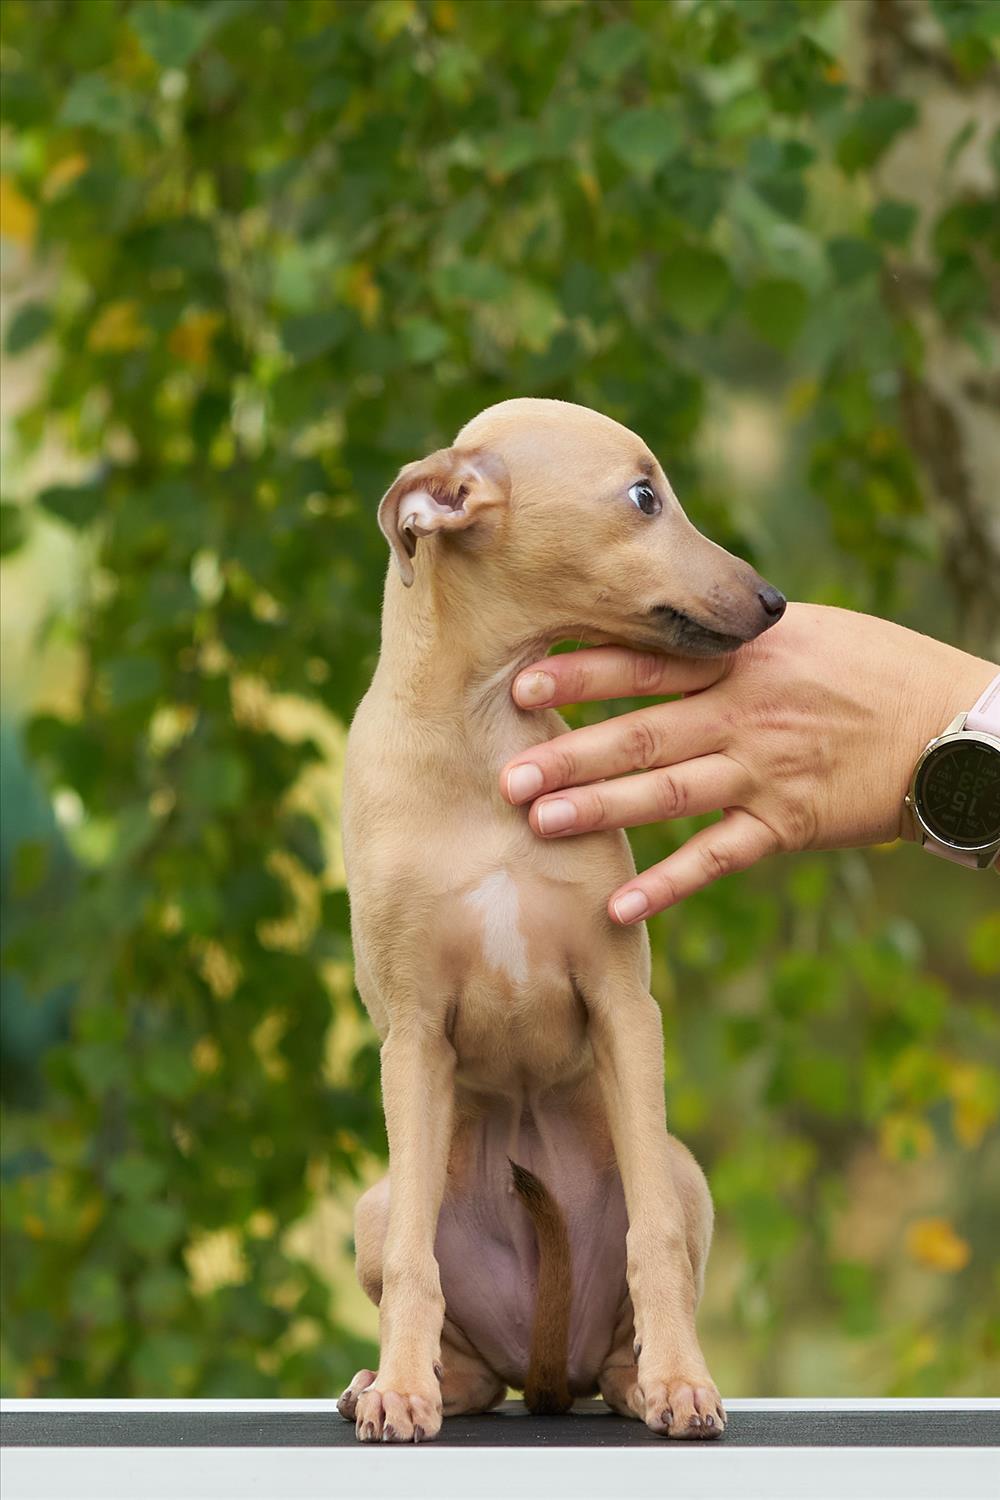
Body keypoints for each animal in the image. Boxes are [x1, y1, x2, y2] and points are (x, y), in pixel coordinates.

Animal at [337, 398, 786, 1443]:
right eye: (644, 496)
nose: (774, 598)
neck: (480, 740)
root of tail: (545, 1366)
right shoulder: (412, 1037)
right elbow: (416, 1259)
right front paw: (402, 1391)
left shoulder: (623, 1003)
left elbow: (651, 1237)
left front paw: (682, 1383)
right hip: (377, 1204)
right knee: (445, 1316)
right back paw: (392, 1382)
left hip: (682, 1171)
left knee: (637, 1290)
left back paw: (646, 1381)